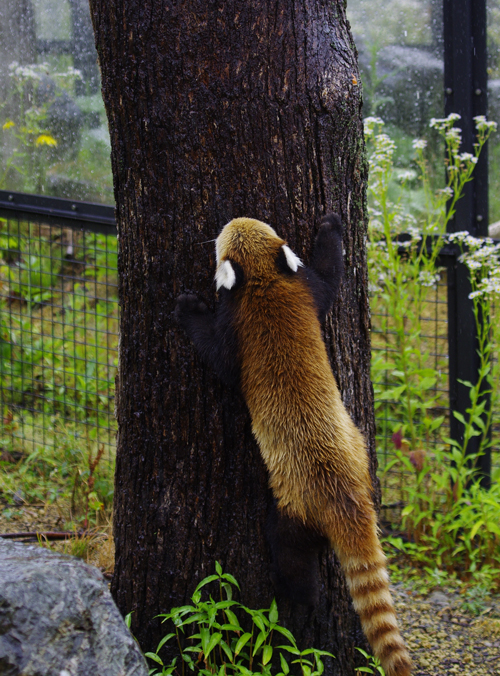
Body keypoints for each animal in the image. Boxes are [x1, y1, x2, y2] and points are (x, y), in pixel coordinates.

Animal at [175, 217, 410, 676]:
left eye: (220, 237)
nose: (226, 219)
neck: (264, 281)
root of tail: (347, 498)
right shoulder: (307, 292)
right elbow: (331, 276)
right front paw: (331, 227)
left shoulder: (237, 330)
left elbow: (218, 358)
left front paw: (188, 306)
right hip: (360, 448)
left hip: (295, 509)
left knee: (289, 555)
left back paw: (300, 600)